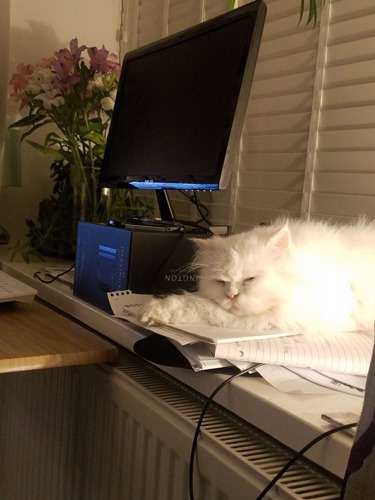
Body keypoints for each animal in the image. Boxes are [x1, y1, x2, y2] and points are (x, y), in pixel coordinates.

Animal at [139, 218, 375, 332]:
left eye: (249, 279)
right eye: (221, 282)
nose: (231, 296)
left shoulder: (286, 316)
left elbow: (200, 306)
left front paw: (152, 311)